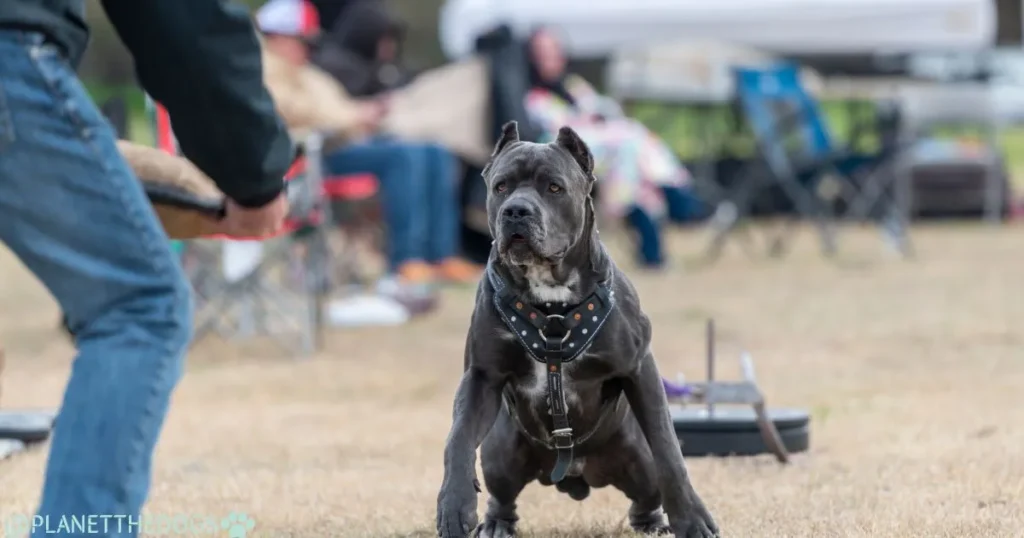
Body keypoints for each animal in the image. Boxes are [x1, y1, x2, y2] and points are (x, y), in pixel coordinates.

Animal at [434, 122, 720, 536]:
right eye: (501, 186)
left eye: (554, 187)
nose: (516, 210)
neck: (550, 299)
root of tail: (576, 474)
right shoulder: (481, 377)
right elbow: (457, 438)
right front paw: (454, 504)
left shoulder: (639, 369)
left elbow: (669, 449)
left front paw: (692, 519)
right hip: (500, 454)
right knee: (502, 495)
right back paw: (495, 523)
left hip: (638, 461)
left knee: (646, 494)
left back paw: (655, 523)